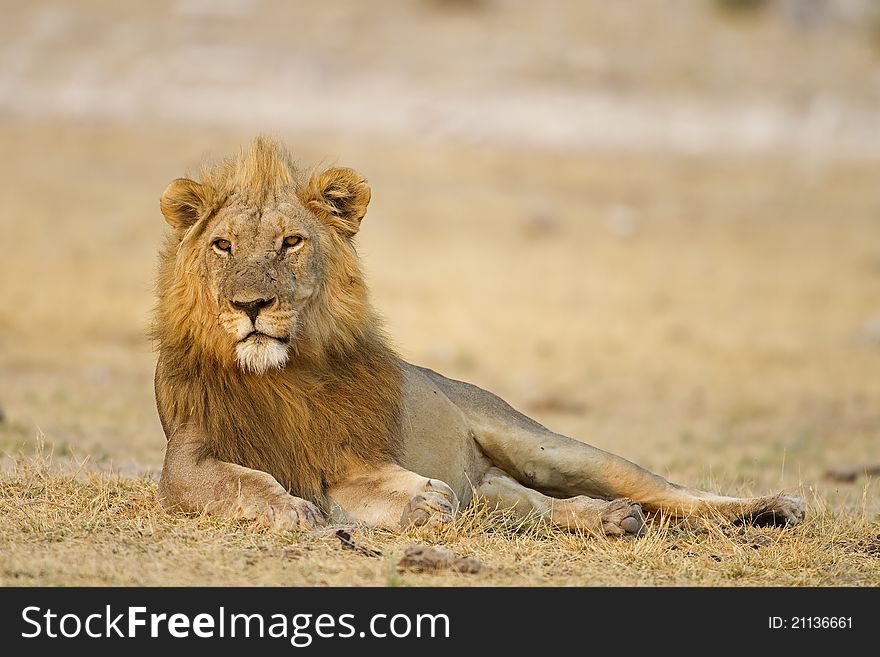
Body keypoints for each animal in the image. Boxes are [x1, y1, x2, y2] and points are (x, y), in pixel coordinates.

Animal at [153, 136, 804, 536]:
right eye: (223, 245)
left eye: (291, 242)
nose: (250, 305)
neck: (283, 373)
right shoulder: (186, 455)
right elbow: (239, 480)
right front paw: (291, 509)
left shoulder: (349, 452)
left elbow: (367, 485)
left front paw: (418, 498)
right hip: (497, 487)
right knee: (541, 507)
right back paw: (606, 519)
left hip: (548, 446)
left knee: (674, 493)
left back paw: (775, 506)